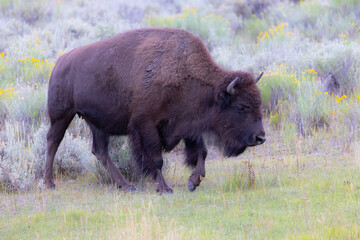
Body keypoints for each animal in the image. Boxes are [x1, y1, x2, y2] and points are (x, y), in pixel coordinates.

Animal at [44, 27, 264, 194]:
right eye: (241, 106)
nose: (260, 137)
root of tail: (60, 62)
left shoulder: (188, 124)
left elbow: (202, 151)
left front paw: (193, 181)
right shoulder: (146, 125)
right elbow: (156, 159)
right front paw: (164, 188)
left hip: (96, 124)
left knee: (100, 152)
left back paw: (126, 185)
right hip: (62, 116)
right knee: (53, 141)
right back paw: (49, 183)